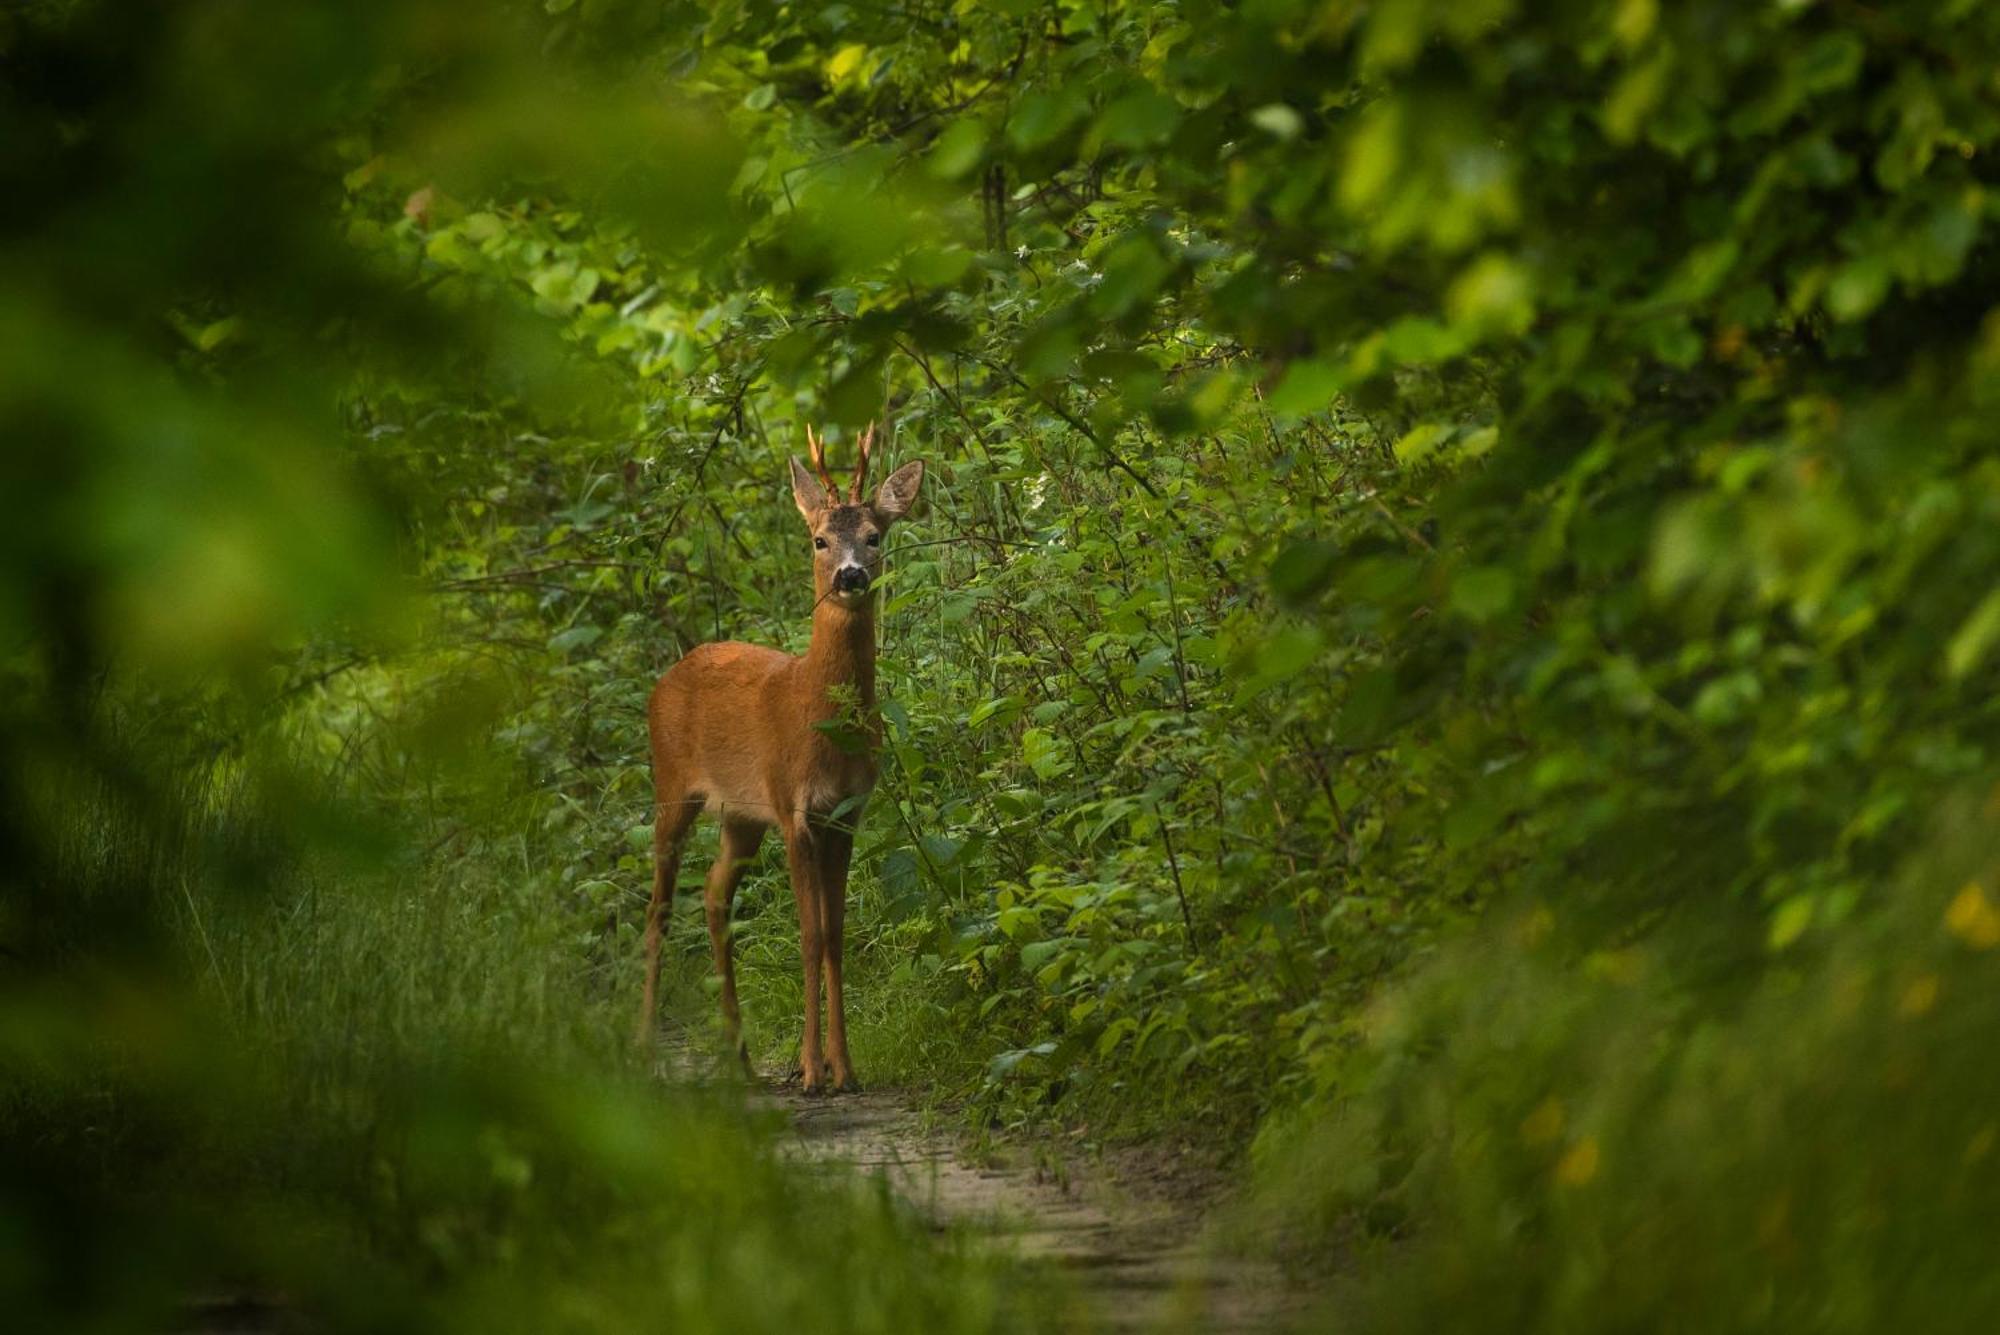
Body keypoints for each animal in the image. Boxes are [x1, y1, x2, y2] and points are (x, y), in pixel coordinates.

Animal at [636, 425, 924, 1095]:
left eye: (875, 536)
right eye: (819, 539)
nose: (850, 576)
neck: (819, 721)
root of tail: (668, 675)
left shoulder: (845, 813)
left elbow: (837, 934)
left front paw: (844, 1067)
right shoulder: (794, 807)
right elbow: (809, 934)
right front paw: (813, 1069)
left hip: (740, 815)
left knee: (714, 894)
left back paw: (739, 1059)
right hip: (671, 785)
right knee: (658, 907)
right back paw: (641, 1049)